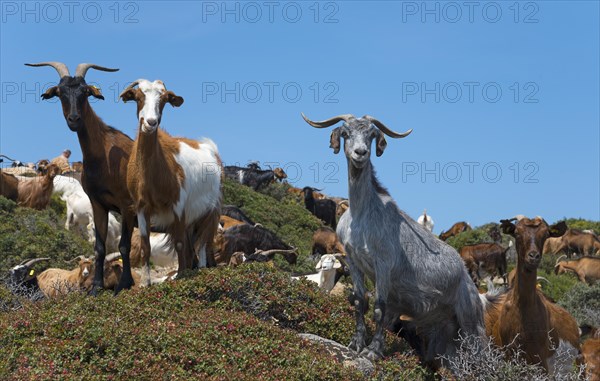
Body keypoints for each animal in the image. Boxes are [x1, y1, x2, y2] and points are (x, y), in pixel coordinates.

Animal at [120, 78, 221, 284]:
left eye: (164, 100)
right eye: (138, 97)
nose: (150, 123)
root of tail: (208, 147)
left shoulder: (178, 205)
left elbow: (181, 244)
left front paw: (182, 276)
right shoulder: (141, 207)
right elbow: (145, 246)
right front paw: (146, 283)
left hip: (209, 211)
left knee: (202, 243)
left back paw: (200, 269)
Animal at [302, 113, 486, 362]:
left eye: (371, 134)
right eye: (346, 133)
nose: (360, 153)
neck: (362, 215)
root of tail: (469, 280)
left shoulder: (383, 264)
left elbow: (380, 307)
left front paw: (373, 351)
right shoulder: (353, 260)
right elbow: (360, 301)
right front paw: (356, 343)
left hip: (470, 321)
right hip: (445, 329)